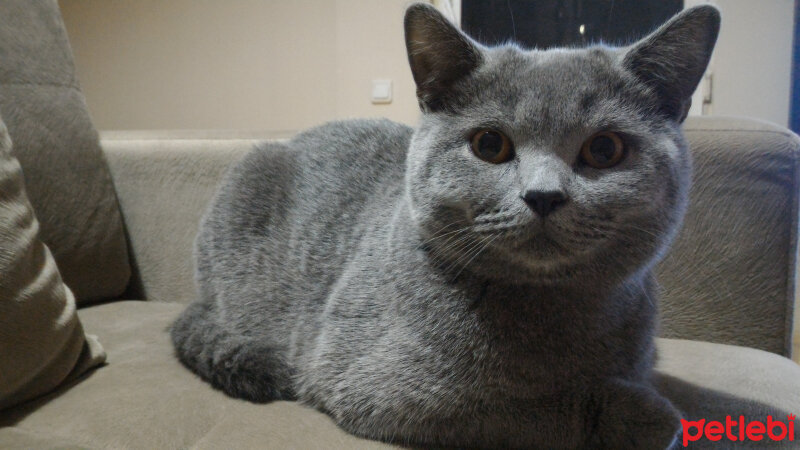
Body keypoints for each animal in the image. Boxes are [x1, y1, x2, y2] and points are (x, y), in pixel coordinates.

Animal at [172, 4, 720, 450]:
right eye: (490, 145)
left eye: (605, 149)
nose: (543, 195)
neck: (549, 318)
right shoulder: (371, 382)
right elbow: (521, 411)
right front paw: (642, 416)